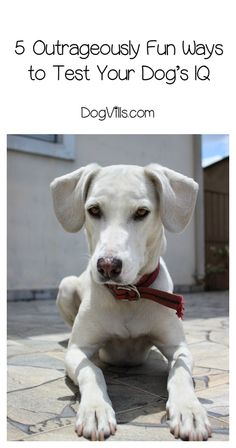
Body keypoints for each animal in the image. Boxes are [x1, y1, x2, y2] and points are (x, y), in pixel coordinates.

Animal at [50, 164, 211, 440]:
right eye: (94, 210)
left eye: (141, 213)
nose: (107, 266)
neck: (129, 295)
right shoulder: (77, 351)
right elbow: (92, 370)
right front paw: (95, 410)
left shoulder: (178, 347)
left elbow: (180, 373)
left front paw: (189, 410)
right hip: (66, 286)